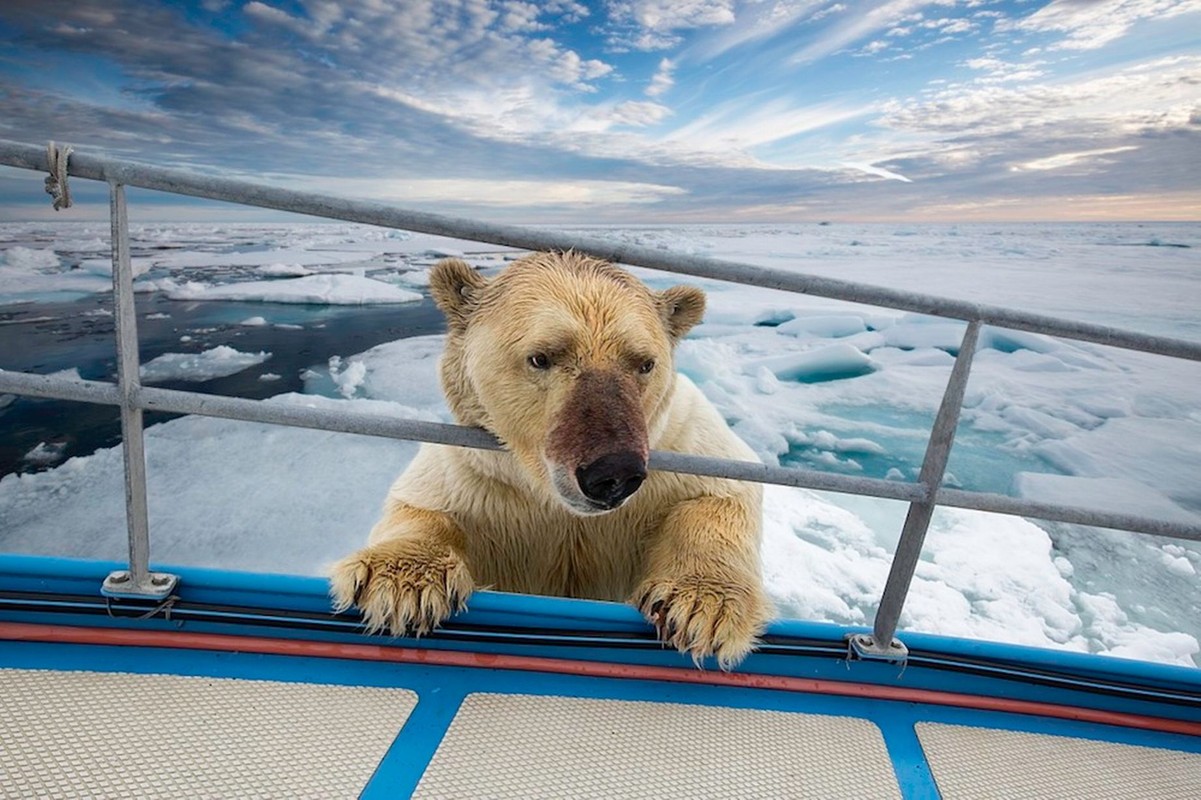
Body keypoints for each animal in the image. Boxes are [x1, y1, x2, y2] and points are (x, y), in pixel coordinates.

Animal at [329, 251, 768, 667]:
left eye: (645, 363)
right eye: (541, 357)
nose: (613, 473)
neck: (556, 503)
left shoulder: (679, 442)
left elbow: (722, 493)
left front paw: (701, 606)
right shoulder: (475, 474)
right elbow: (421, 504)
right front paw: (399, 583)